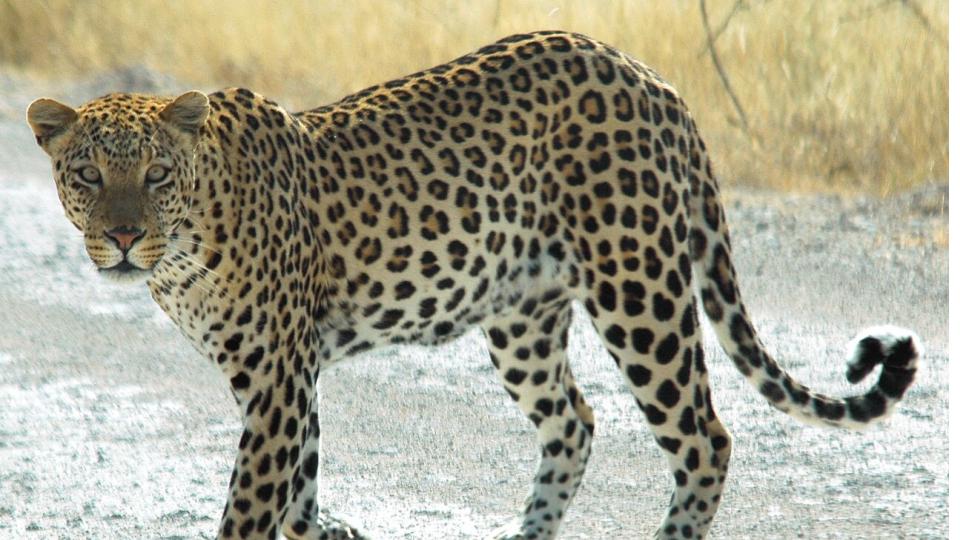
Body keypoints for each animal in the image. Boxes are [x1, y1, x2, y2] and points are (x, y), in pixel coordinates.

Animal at [27, 31, 921, 539]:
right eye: (86, 174)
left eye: (155, 174)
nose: (123, 238)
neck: (185, 248)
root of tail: (653, 80)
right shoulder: (288, 376)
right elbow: (300, 493)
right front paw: (333, 530)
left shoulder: (277, 376)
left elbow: (253, 506)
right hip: (522, 317)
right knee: (575, 421)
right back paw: (525, 536)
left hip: (639, 287)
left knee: (705, 436)